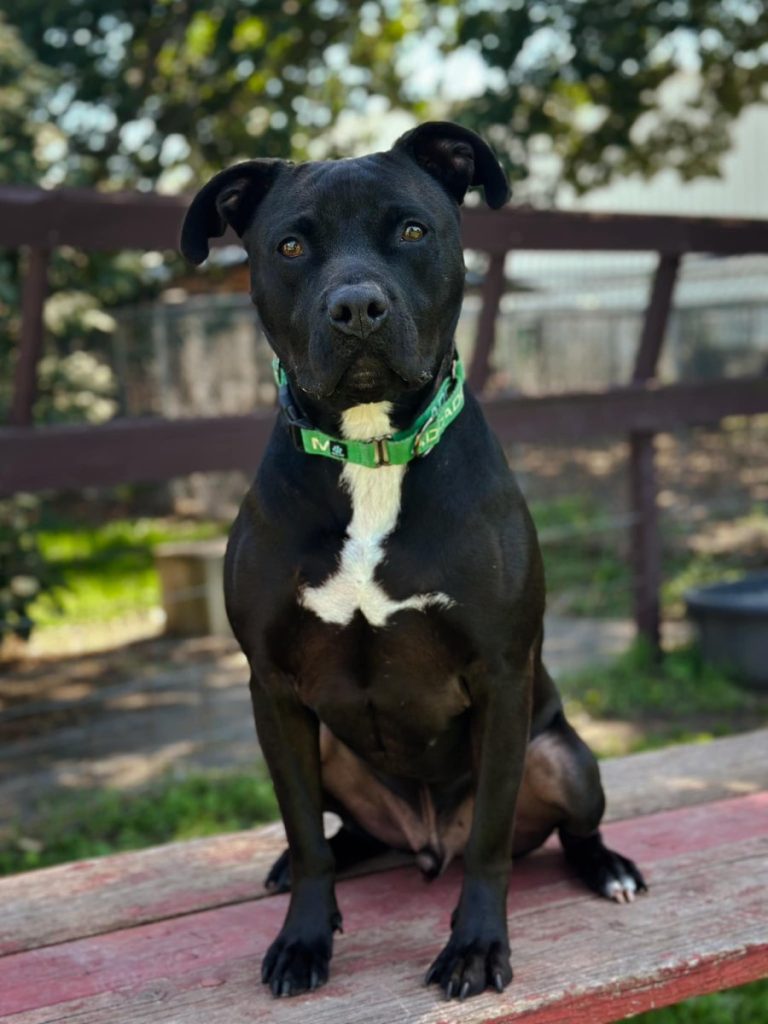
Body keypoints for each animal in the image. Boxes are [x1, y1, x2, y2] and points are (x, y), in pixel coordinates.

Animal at [180, 121, 646, 1001]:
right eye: (291, 245)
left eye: (411, 230)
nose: (356, 305)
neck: (372, 451)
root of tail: (430, 842)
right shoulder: (274, 689)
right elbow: (306, 832)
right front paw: (303, 935)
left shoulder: (501, 680)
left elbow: (493, 845)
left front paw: (476, 946)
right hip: (328, 745)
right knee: (340, 834)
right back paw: (306, 864)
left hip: (562, 756)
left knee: (565, 828)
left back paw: (607, 868)